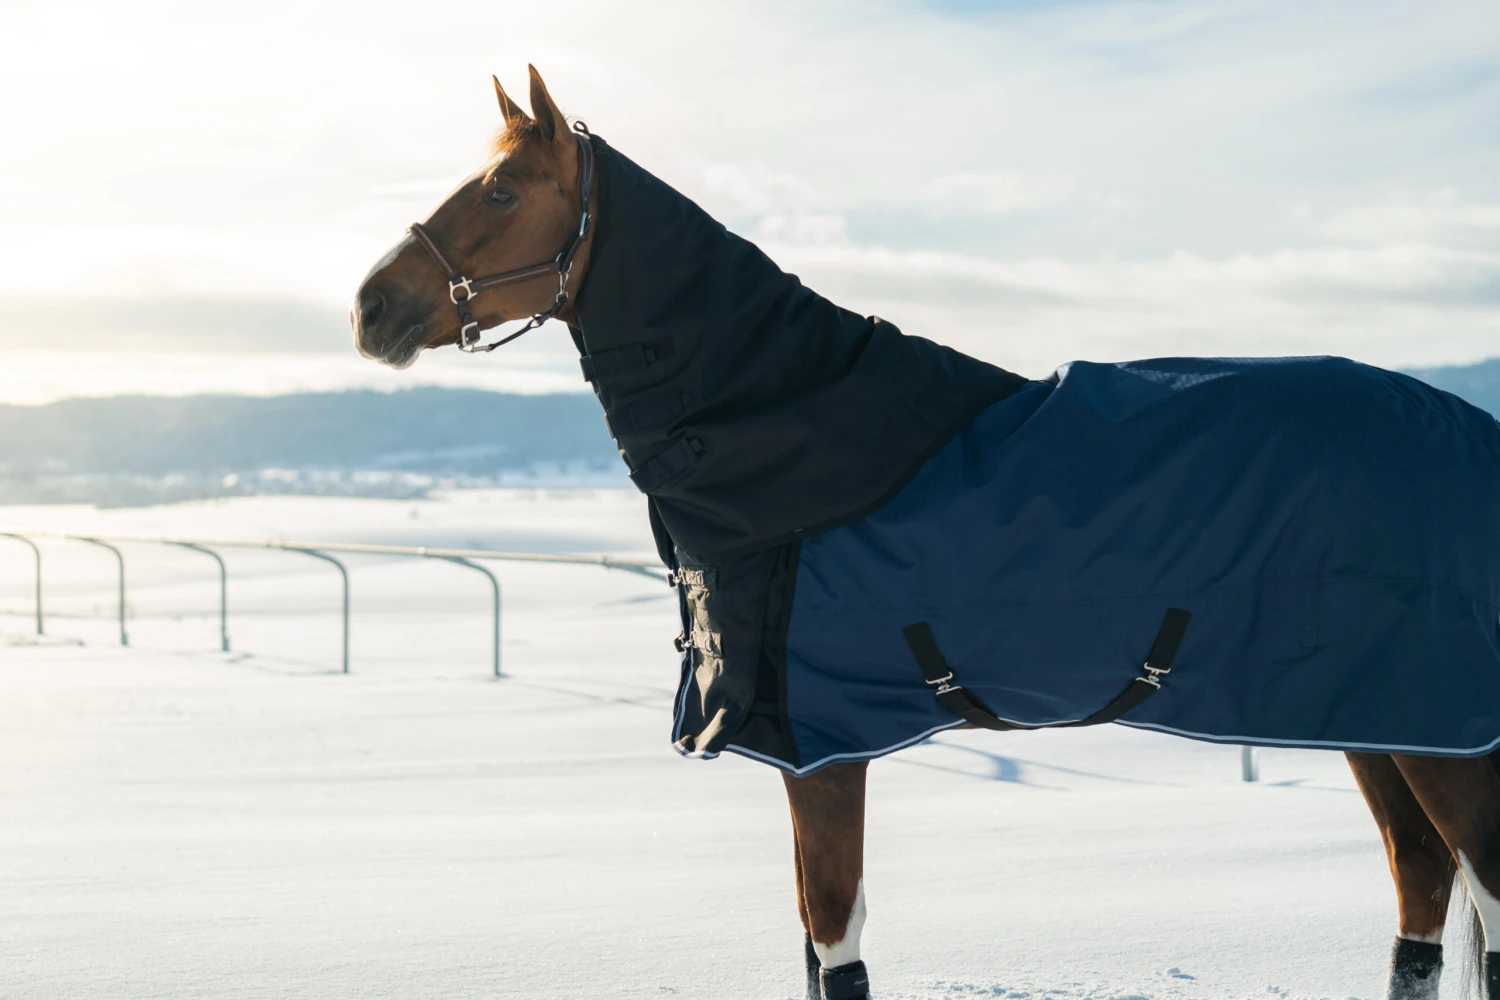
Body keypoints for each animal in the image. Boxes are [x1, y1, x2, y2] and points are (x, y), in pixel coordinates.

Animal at [350, 66, 1500, 1000]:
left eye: (502, 191)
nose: (369, 308)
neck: (785, 417)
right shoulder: (806, 750)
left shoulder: (826, 752)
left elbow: (836, 945)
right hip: (1377, 715)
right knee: (1421, 884)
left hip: (1437, 730)